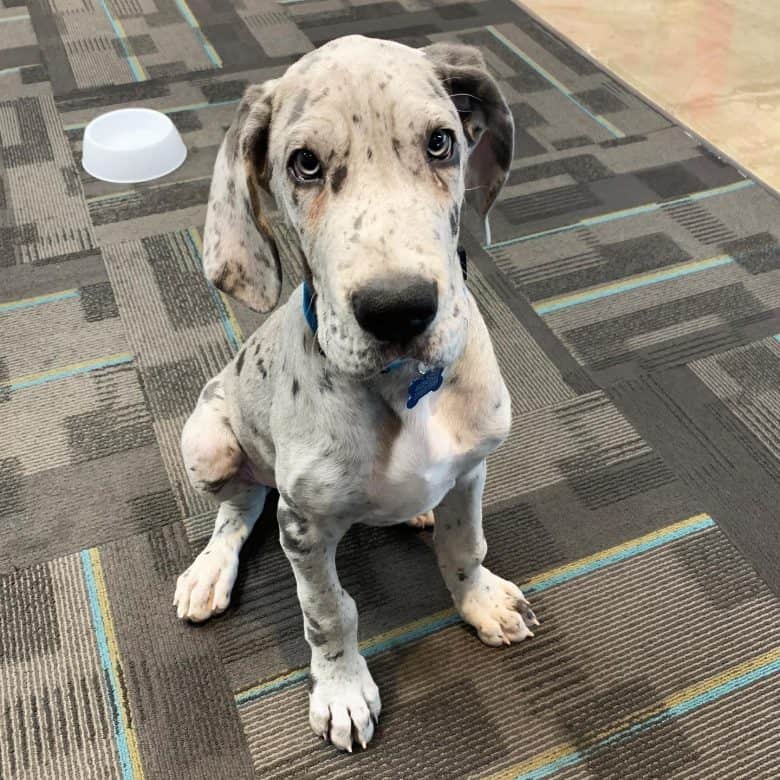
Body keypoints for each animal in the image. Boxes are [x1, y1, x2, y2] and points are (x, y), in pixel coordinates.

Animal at [172, 35, 536, 748]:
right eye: (305, 163)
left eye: (441, 143)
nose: (399, 310)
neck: (404, 388)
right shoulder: (304, 528)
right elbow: (328, 614)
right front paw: (342, 691)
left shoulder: (472, 469)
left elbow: (465, 546)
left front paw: (478, 600)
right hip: (208, 442)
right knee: (240, 506)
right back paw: (209, 570)